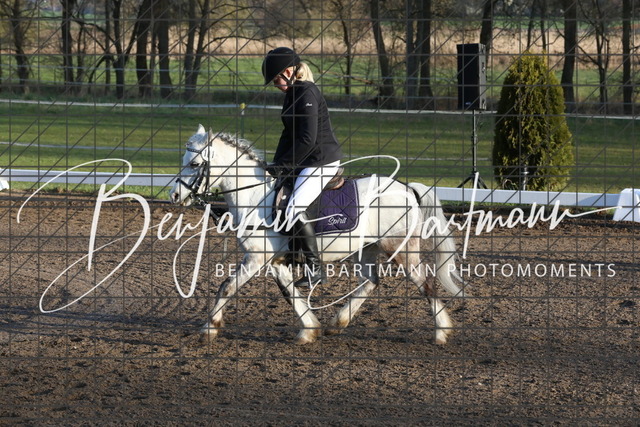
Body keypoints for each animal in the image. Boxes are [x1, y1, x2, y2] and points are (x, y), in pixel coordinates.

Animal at [169, 125, 465, 345]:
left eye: (195, 163)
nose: (175, 195)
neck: (255, 196)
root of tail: (406, 188)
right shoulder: (275, 261)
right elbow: (290, 294)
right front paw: (309, 329)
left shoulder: (256, 258)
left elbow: (227, 286)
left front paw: (209, 328)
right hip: (366, 248)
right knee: (370, 282)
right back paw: (338, 322)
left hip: (400, 249)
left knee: (425, 283)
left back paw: (441, 332)